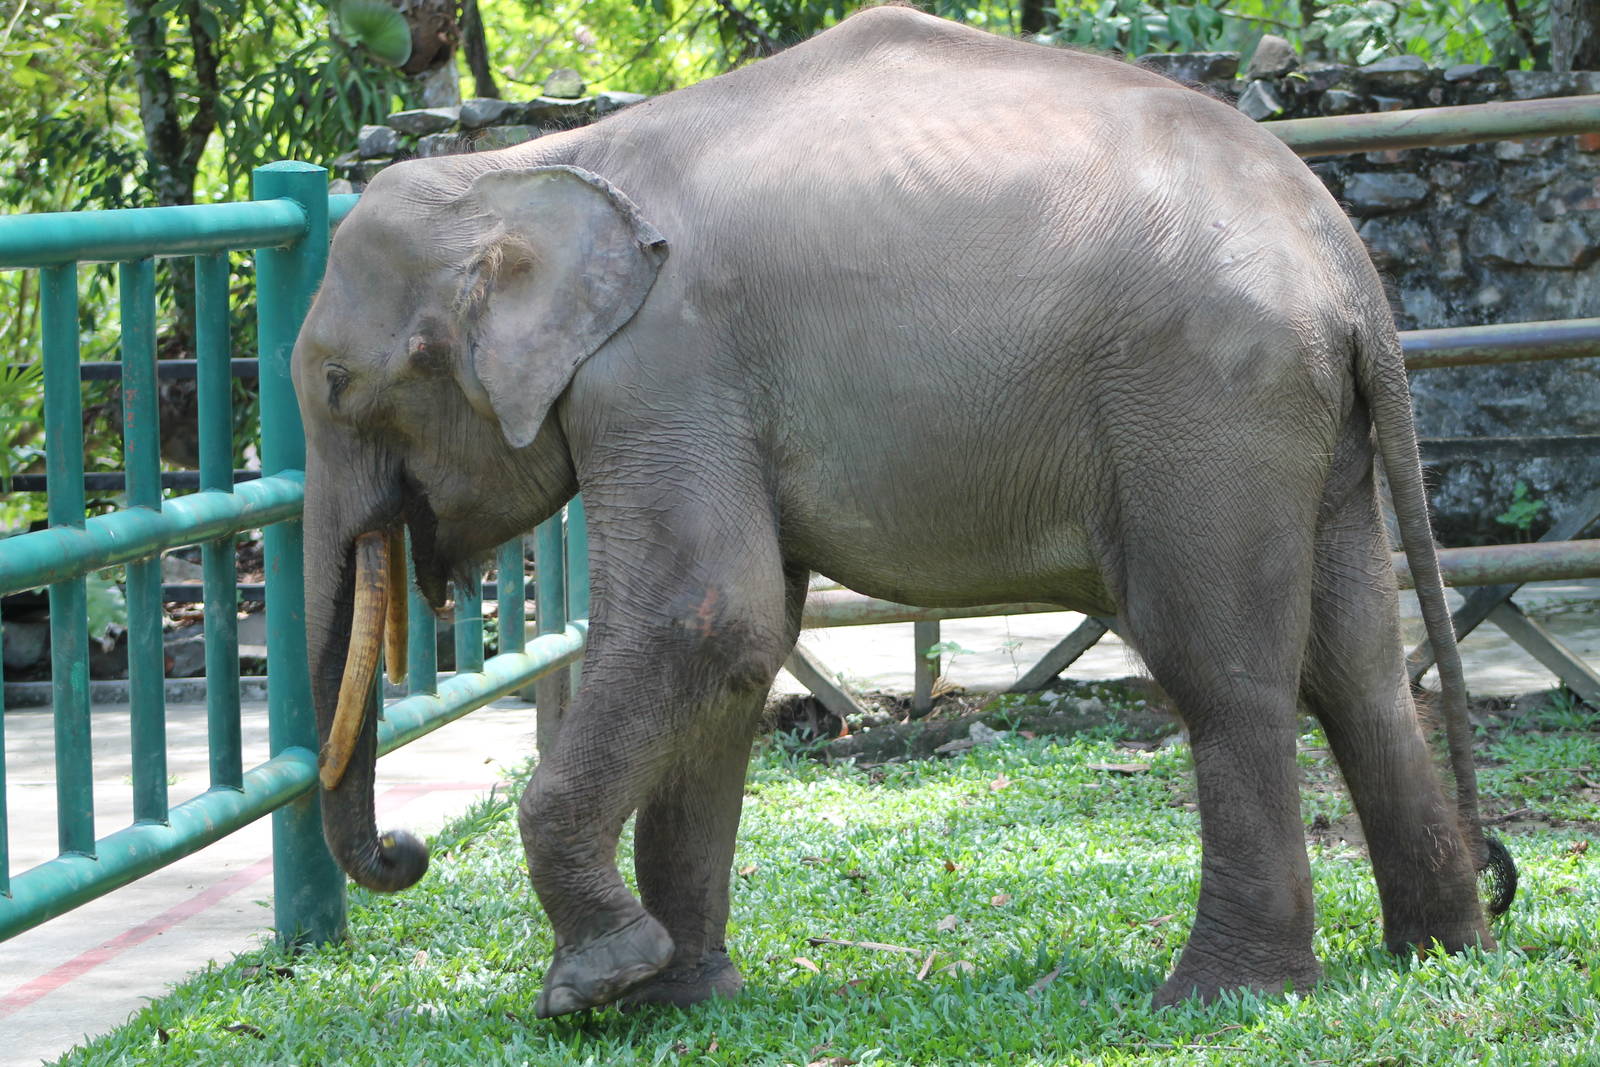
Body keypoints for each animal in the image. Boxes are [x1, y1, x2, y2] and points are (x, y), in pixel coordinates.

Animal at [292, 5, 1514, 1018]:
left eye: (336, 388)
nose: (404, 848)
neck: (521, 168)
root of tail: (1348, 263)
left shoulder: (662, 370)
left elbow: (704, 617)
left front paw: (592, 990)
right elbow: (739, 656)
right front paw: (677, 1000)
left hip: (1208, 402)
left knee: (1224, 668)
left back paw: (1221, 995)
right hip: (1313, 426)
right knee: (1354, 664)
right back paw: (1438, 947)